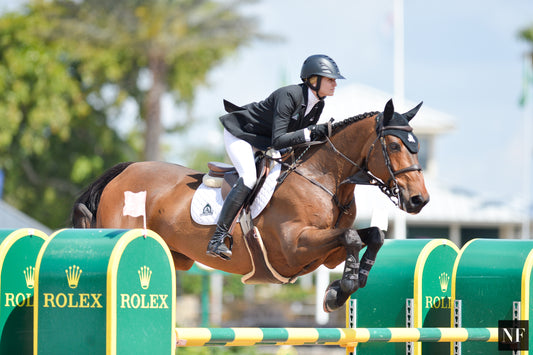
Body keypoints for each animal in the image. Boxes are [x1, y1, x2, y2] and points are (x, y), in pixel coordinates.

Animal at [70, 98, 428, 312]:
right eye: (394, 146)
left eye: (417, 145)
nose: (419, 200)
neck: (323, 177)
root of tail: (123, 171)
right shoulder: (294, 247)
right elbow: (352, 237)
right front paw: (341, 291)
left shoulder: (327, 254)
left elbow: (373, 236)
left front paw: (348, 284)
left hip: (177, 258)